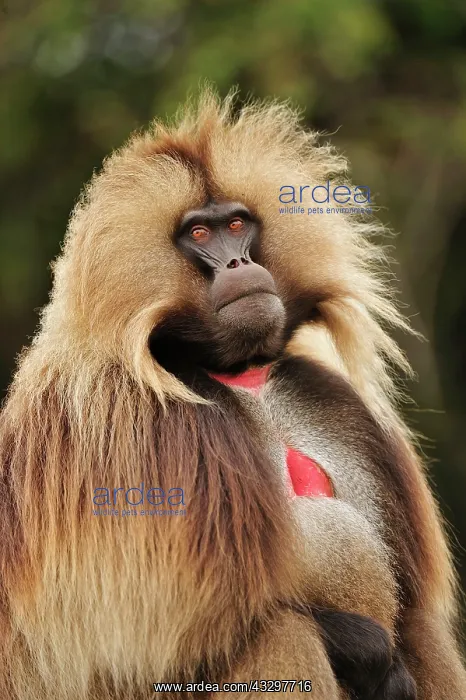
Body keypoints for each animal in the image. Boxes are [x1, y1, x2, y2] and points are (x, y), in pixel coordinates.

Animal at [0, 87, 464, 700]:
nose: (241, 263)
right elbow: (153, 640)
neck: (235, 373)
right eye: (199, 235)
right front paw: (374, 658)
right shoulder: (122, 423)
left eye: (238, 223)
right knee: (278, 631)